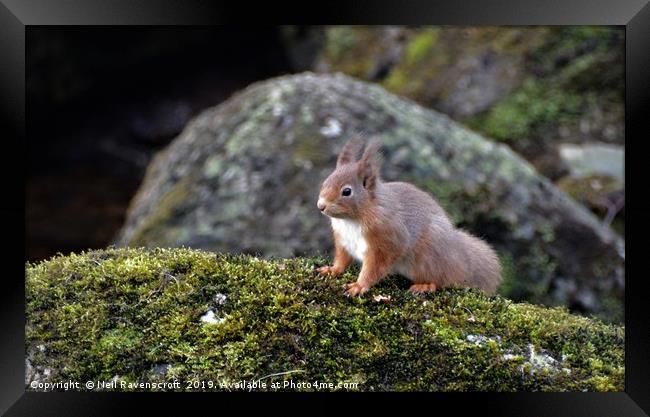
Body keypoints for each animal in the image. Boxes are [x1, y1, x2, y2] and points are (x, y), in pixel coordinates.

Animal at [314, 136, 502, 296]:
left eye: (347, 191)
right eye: (325, 181)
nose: (320, 206)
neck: (352, 220)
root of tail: (459, 257)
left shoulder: (387, 241)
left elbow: (374, 268)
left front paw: (359, 286)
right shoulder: (343, 240)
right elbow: (342, 259)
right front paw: (332, 270)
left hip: (428, 259)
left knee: (441, 279)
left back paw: (425, 285)